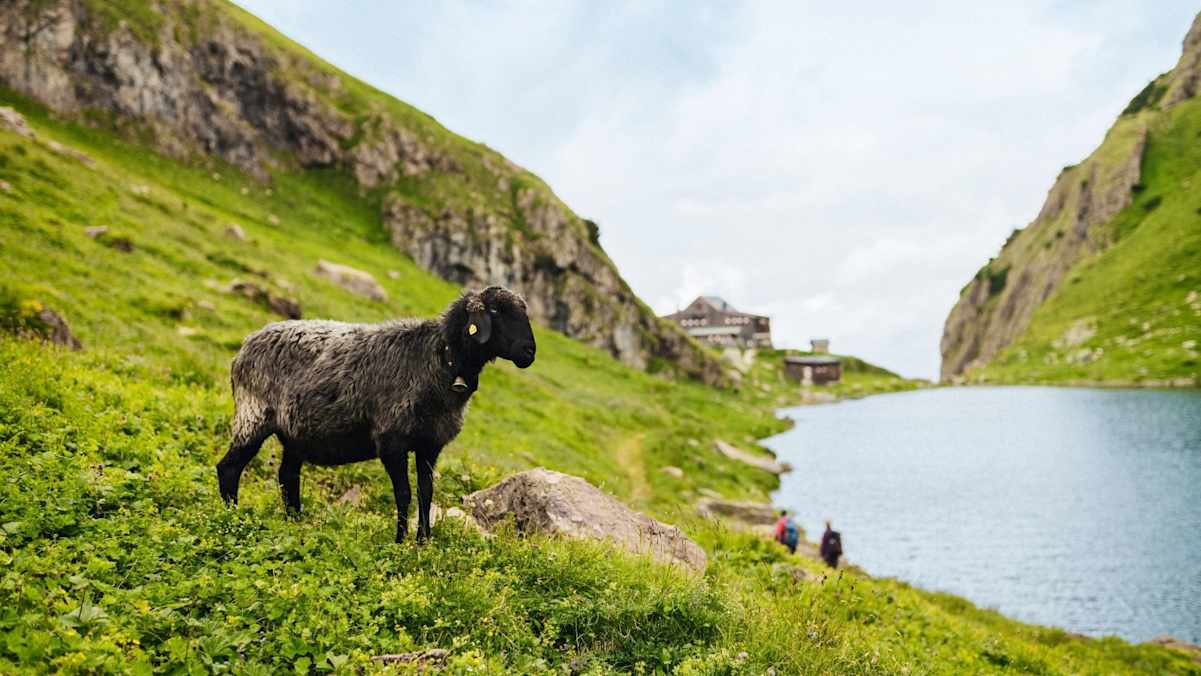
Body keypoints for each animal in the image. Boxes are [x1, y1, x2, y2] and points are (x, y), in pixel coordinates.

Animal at [215, 286, 536, 542]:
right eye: (496, 310)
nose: (529, 352)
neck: (439, 359)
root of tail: (245, 346)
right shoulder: (391, 441)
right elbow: (403, 493)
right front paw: (400, 541)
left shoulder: (430, 444)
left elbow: (426, 493)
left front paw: (424, 542)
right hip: (253, 414)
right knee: (229, 467)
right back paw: (233, 518)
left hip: (295, 431)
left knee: (287, 475)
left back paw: (294, 521)